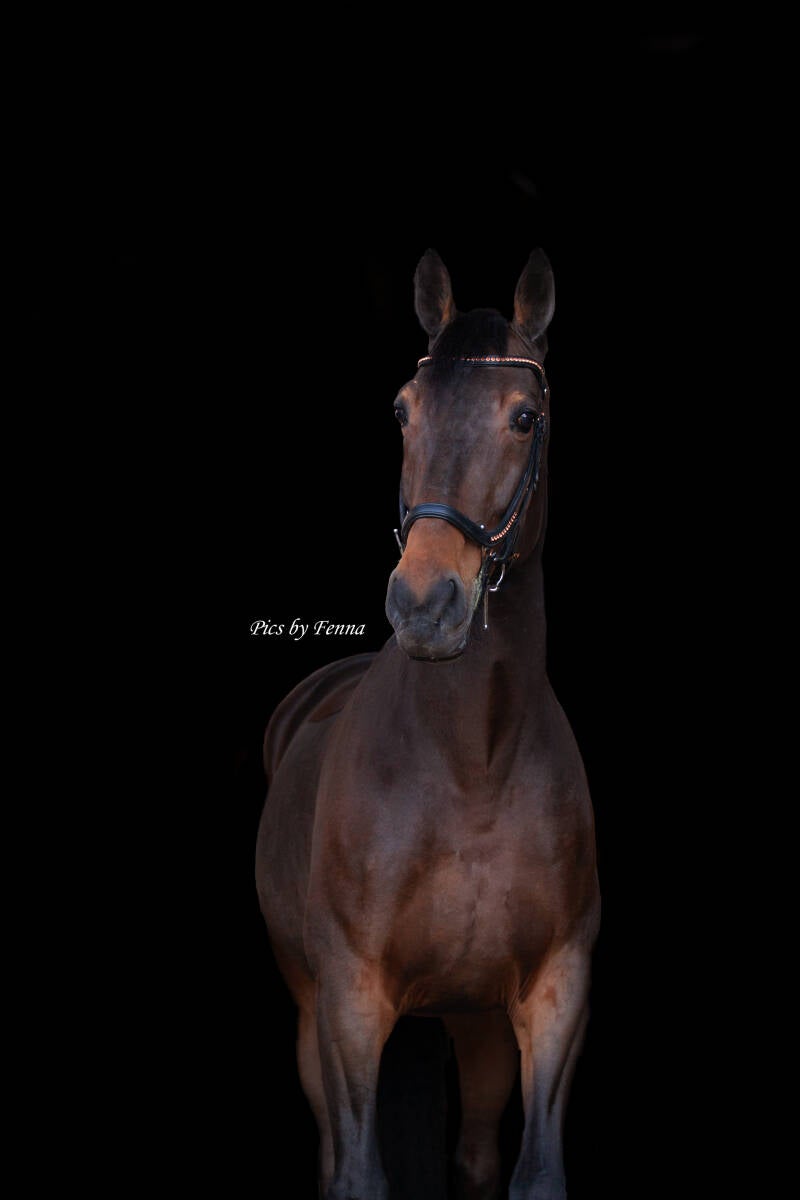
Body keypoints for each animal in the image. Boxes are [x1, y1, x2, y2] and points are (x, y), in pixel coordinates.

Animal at [255, 248, 600, 1199]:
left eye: (525, 416)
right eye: (402, 411)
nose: (424, 605)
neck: (471, 764)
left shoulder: (555, 995)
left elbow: (533, 1174)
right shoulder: (350, 1003)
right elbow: (359, 1174)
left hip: (477, 1025)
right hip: (310, 1013)